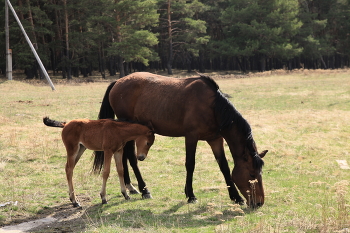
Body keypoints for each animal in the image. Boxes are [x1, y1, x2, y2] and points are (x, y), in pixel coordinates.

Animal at [95, 72, 268, 207]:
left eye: (260, 174)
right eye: (252, 174)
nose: (259, 203)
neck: (213, 107)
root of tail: (118, 82)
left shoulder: (215, 139)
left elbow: (224, 166)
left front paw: (236, 197)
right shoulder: (191, 137)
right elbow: (190, 164)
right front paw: (190, 195)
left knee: (123, 155)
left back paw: (130, 187)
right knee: (131, 157)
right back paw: (144, 190)